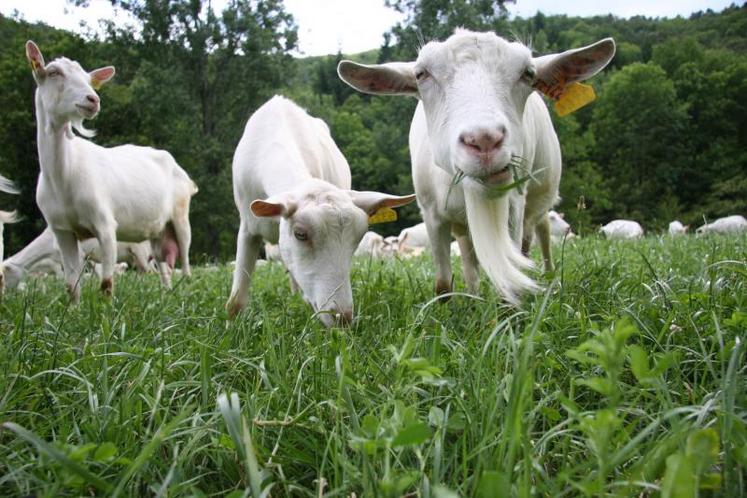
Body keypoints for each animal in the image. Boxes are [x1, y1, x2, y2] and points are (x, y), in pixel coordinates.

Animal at [25, 40, 197, 300]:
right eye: (53, 72)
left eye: (89, 79)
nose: (92, 99)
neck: (64, 174)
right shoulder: (62, 230)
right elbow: (71, 285)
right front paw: (75, 309)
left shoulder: (105, 224)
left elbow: (106, 283)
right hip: (157, 232)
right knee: (162, 264)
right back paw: (167, 294)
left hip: (180, 215)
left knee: (185, 262)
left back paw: (185, 292)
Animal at [342, 31, 616, 306]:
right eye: (421, 74)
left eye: (528, 73)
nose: (484, 140)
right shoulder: (431, 212)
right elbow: (443, 284)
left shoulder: (514, 204)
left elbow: (510, 280)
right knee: (470, 254)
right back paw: (474, 295)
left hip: (539, 202)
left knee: (539, 235)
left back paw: (549, 281)